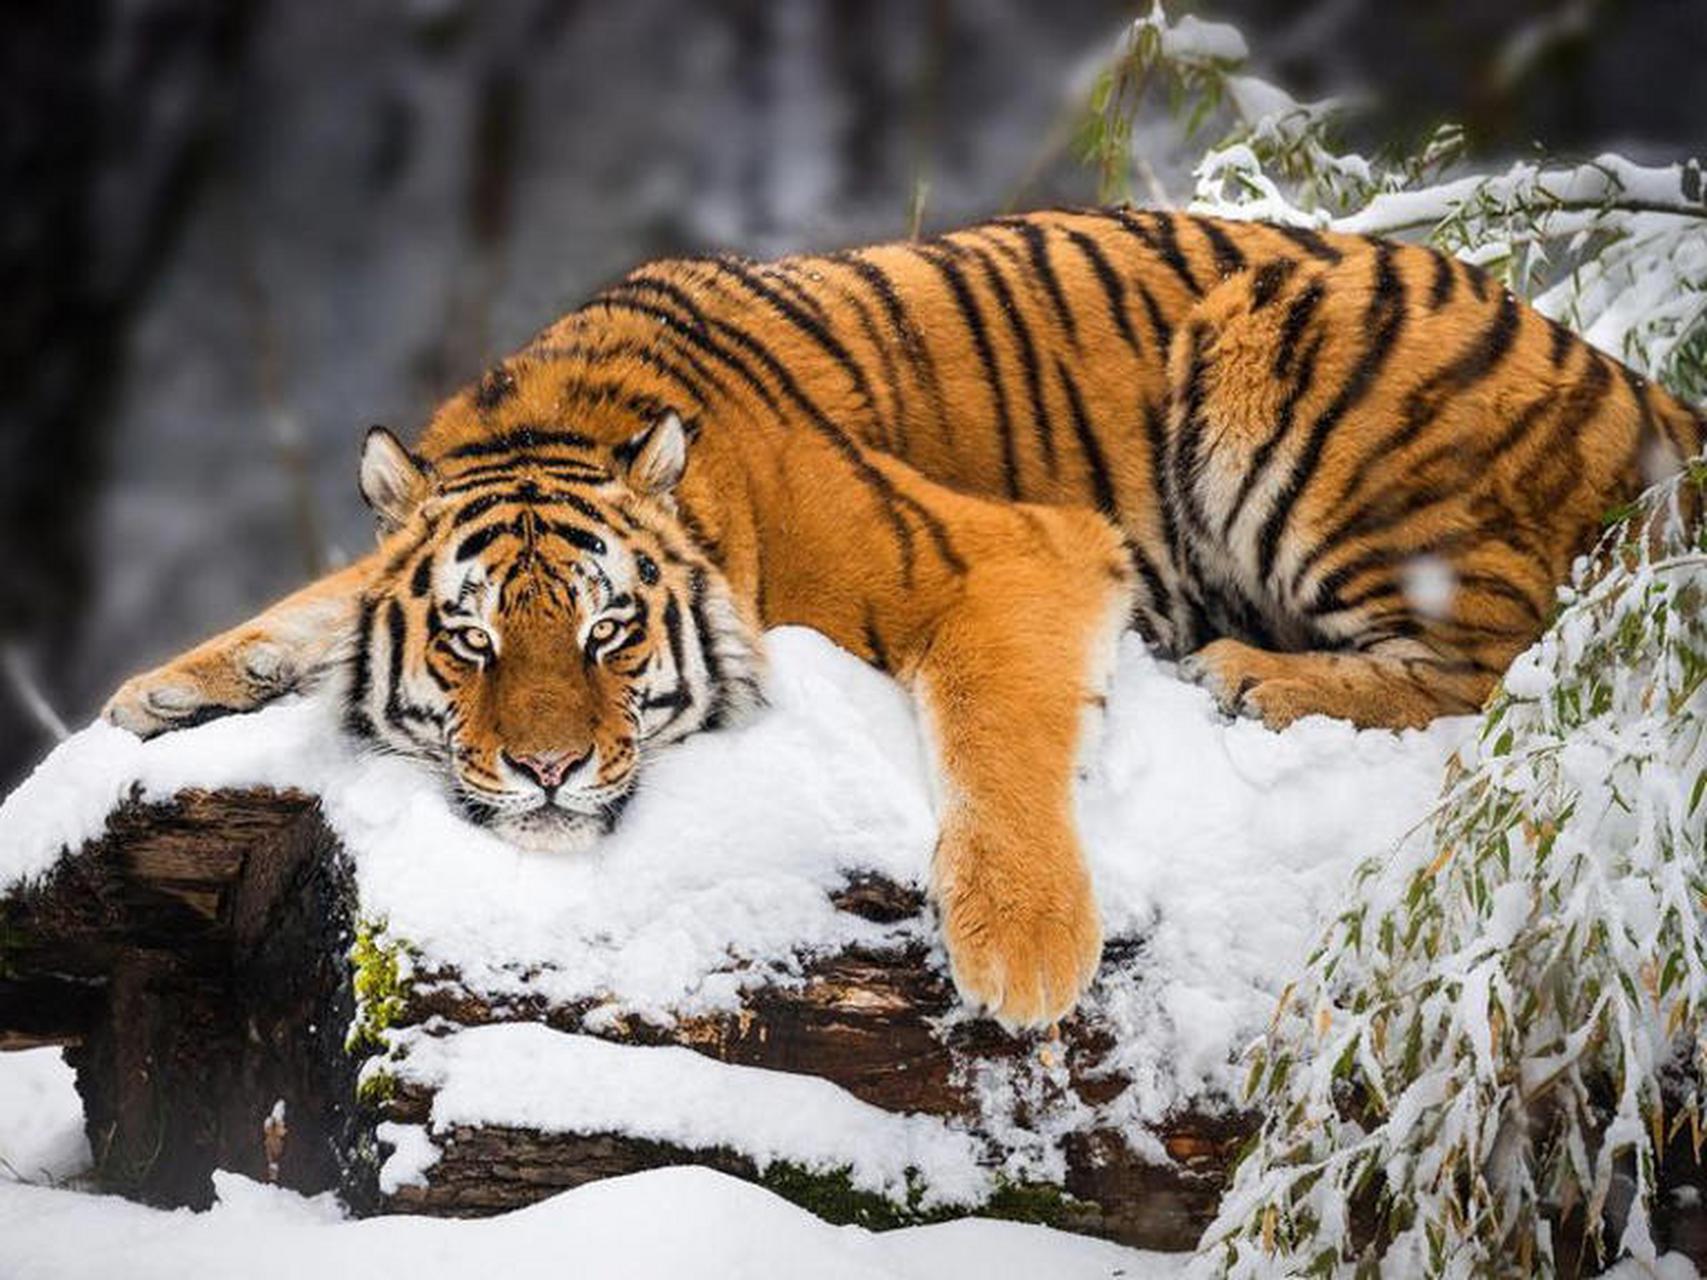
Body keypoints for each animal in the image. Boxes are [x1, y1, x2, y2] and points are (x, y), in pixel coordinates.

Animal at [102, 207, 1706, 1030]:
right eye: (472, 640)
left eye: (612, 634)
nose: (548, 770)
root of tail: (1623, 375)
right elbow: (317, 597)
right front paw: (164, 688)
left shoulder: (1003, 554)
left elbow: (994, 735)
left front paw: (1022, 948)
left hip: (1290, 371)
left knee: (1501, 660)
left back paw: (1255, 675)